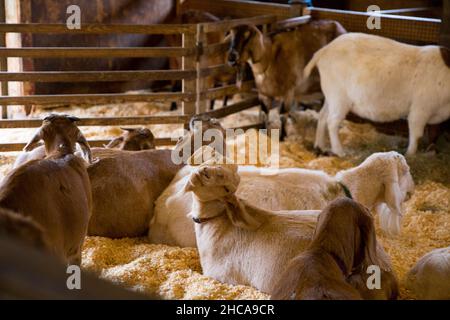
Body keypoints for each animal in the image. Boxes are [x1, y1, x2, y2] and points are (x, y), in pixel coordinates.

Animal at [304, 32, 450, 156]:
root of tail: (325, 50)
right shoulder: (420, 109)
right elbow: (416, 134)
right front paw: (410, 155)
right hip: (339, 97)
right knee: (332, 122)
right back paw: (339, 151)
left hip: (331, 95)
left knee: (322, 116)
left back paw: (320, 146)